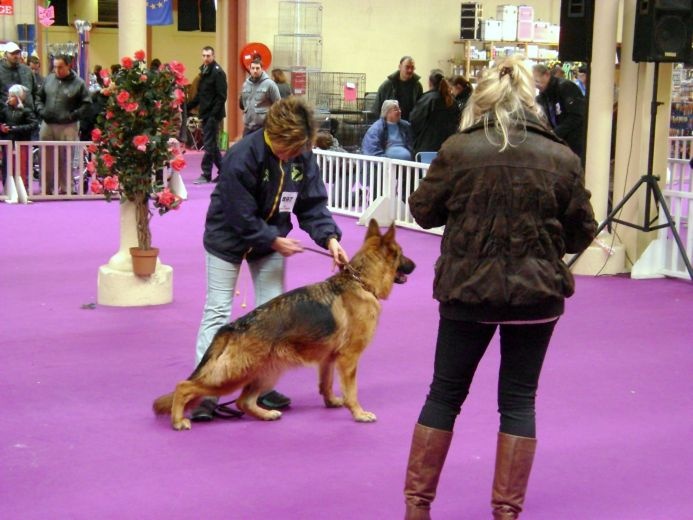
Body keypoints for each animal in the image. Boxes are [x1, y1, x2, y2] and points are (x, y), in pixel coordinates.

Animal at [152, 219, 414, 430]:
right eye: (401, 254)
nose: (416, 265)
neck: (360, 281)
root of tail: (235, 326)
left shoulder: (328, 359)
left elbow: (326, 384)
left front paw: (331, 402)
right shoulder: (349, 359)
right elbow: (352, 392)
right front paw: (359, 414)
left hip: (266, 372)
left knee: (243, 401)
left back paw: (266, 414)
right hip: (232, 376)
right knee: (184, 386)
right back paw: (178, 420)